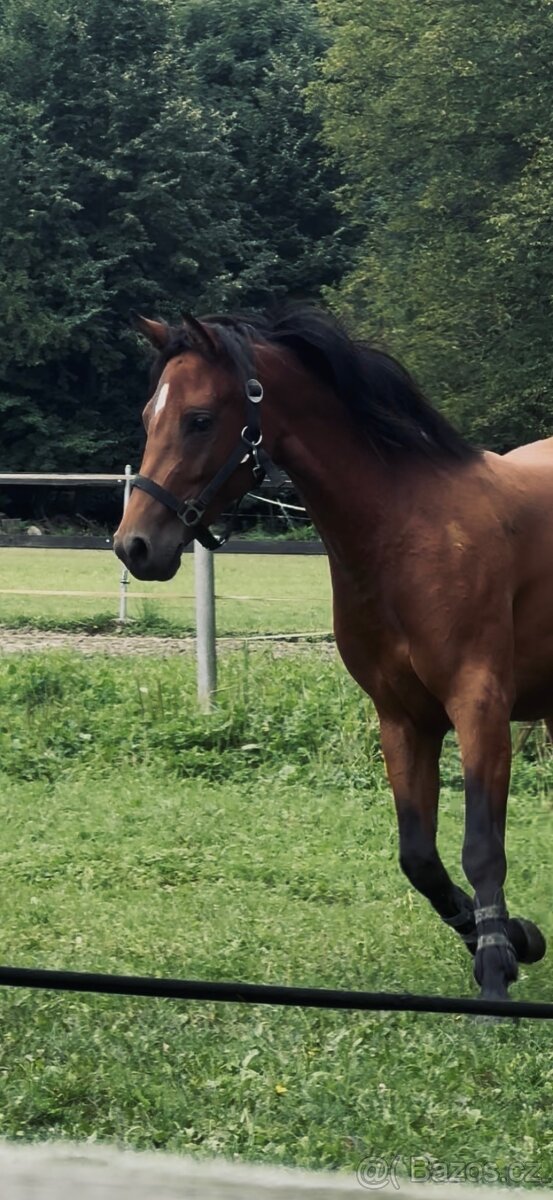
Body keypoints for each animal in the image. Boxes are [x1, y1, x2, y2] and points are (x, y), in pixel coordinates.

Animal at [114, 305, 550, 1002]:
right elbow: (420, 859)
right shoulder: (403, 719)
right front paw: (516, 939)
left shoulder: (479, 705)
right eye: (147, 415)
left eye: (199, 418)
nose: (134, 547)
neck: (407, 532)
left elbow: (482, 849)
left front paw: (495, 976)